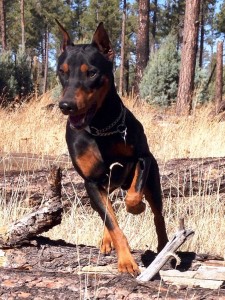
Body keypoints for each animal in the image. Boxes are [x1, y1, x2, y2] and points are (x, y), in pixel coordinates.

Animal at [56, 20, 169, 274]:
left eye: (92, 72)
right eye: (61, 72)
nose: (66, 106)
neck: (100, 128)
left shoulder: (143, 159)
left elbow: (133, 197)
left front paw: (137, 207)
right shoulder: (91, 182)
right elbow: (111, 221)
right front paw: (126, 261)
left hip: (153, 180)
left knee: (158, 215)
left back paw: (164, 245)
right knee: (107, 213)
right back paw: (106, 239)